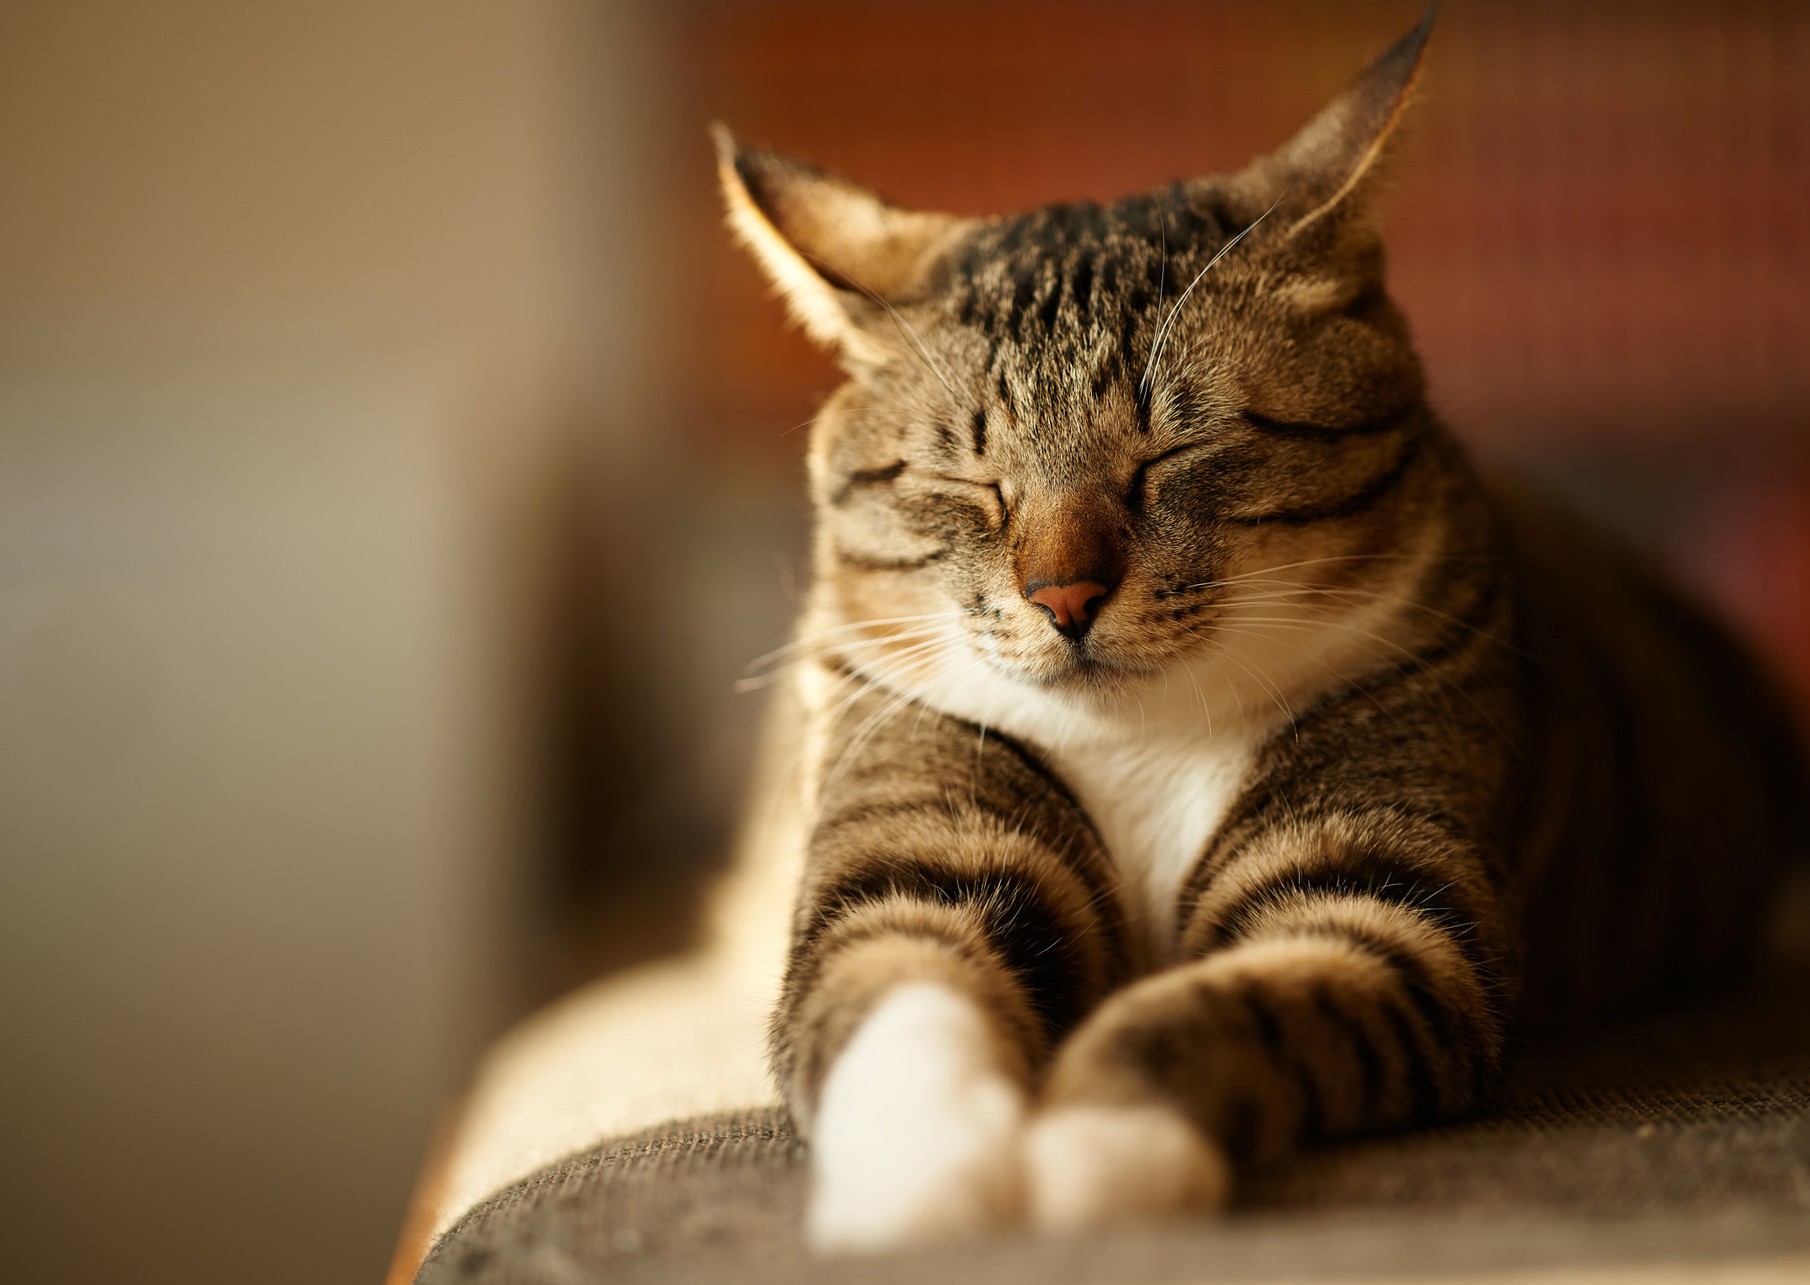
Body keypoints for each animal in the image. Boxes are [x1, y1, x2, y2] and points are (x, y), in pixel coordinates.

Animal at [713, 10, 1802, 1259]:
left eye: (1173, 455)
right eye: (970, 482)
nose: (1063, 595)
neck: (1138, 743)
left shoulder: (1372, 901)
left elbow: (1213, 1013)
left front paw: (1096, 1153)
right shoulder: (915, 846)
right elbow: (897, 985)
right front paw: (926, 1184)